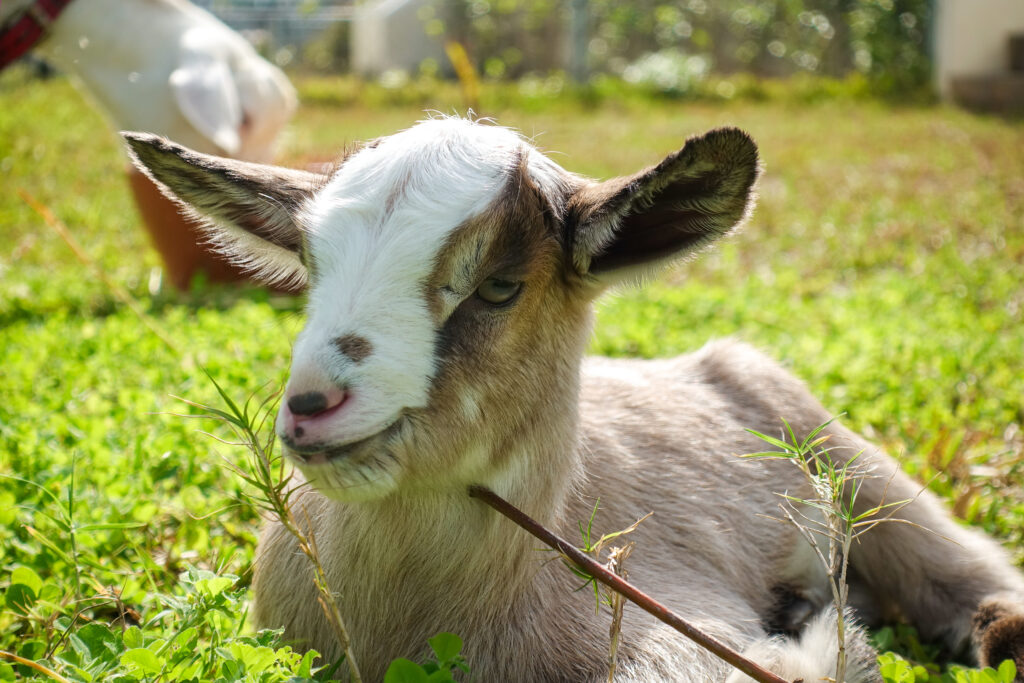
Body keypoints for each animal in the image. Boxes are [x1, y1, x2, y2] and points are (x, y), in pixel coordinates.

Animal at [121, 120, 1024, 679]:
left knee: (963, 567)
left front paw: (814, 624)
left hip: (854, 463)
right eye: (312, 266)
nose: (314, 407)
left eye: (500, 284)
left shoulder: (688, 627)